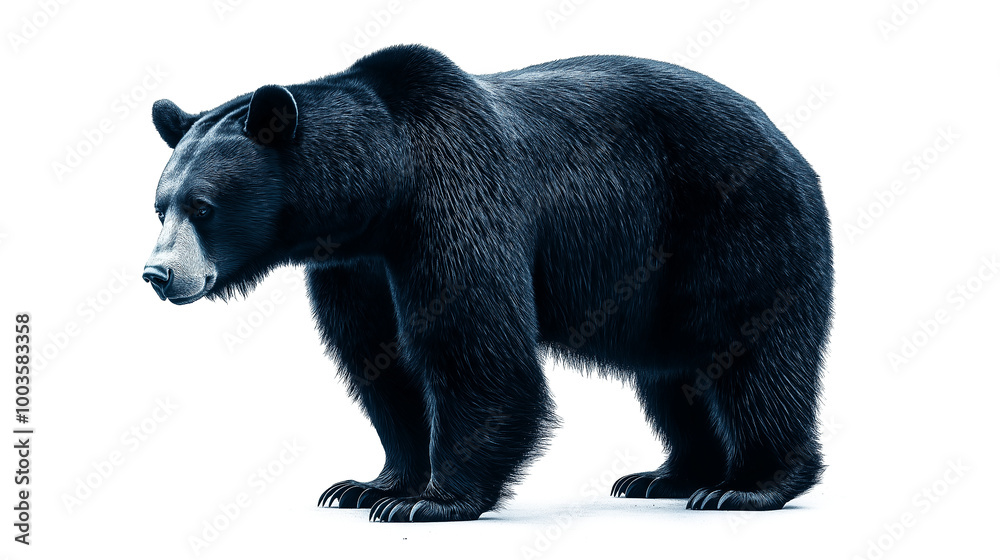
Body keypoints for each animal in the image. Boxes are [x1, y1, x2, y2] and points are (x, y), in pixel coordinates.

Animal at [144, 44, 832, 522]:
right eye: (160, 206)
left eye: (202, 206)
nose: (158, 273)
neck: (382, 189)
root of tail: (788, 142)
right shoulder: (355, 267)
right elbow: (379, 359)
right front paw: (369, 484)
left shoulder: (454, 199)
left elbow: (472, 343)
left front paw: (432, 500)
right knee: (672, 372)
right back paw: (670, 476)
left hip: (732, 222)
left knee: (749, 347)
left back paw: (747, 484)